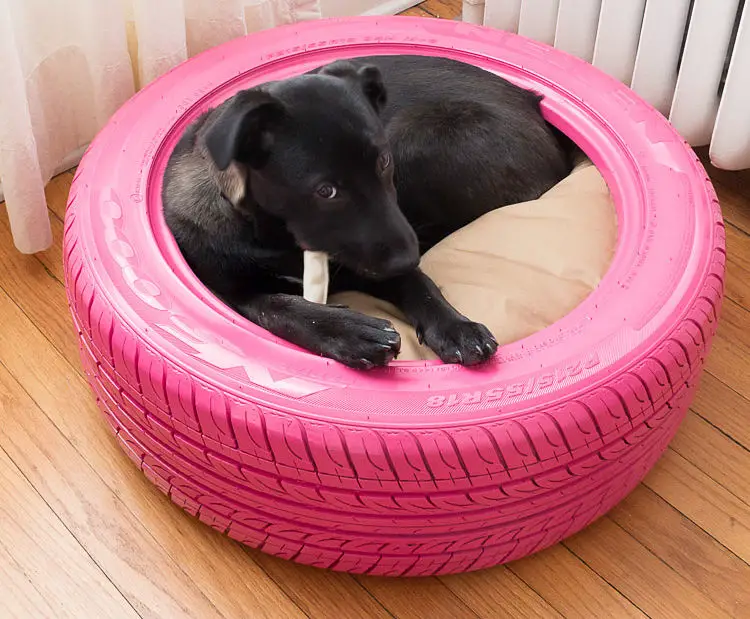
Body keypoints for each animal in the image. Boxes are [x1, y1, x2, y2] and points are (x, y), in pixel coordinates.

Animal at [163, 55, 568, 368]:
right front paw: (351, 332)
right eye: (325, 190)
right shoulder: (229, 293)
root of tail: (532, 103)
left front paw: (455, 326)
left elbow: (417, 284)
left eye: (383, 162)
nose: (408, 257)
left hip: (417, 136)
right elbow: (280, 307)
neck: (277, 237)